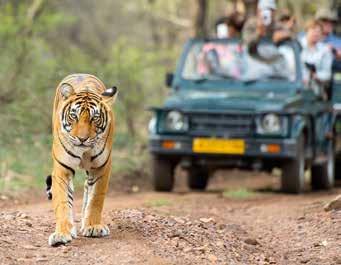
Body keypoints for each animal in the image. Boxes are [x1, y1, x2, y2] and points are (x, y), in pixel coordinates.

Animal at [47, 72, 117, 245]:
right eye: (74, 116)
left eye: (95, 118)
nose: (82, 139)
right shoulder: (62, 168)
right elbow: (63, 201)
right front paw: (62, 233)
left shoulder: (101, 167)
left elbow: (96, 198)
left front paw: (93, 227)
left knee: (87, 189)